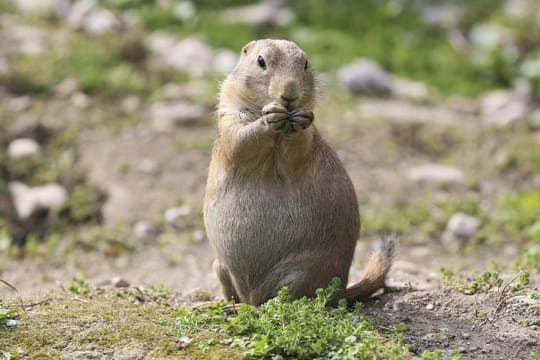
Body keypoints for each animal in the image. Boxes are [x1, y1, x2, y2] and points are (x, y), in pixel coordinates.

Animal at [202, 40, 392, 306]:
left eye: (306, 63)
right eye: (261, 61)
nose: (290, 93)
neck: (279, 131)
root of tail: (341, 291)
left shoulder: (307, 137)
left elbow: (297, 150)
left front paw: (297, 119)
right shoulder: (229, 114)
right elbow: (239, 140)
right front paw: (269, 118)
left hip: (303, 272)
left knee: (283, 301)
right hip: (219, 266)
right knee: (236, 296)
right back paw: (217, 304)